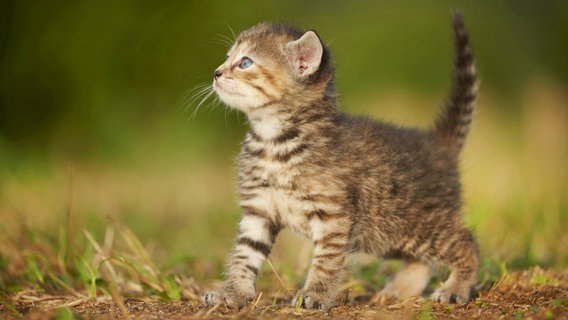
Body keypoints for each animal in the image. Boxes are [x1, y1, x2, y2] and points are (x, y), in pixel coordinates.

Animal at [202, 11, 478, 312]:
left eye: (245, 62)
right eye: (227, 57)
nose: (216, 72)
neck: (274, 140)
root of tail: (437, 140)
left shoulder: (333, 214)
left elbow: (326, 260)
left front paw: (315, 294)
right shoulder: (258, 210)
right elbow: (245, 253)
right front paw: (233, 291)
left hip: (416, 225)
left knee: (468, 242)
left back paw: (456, 288)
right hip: (386, 234)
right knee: (421, 260)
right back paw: (400, 290)